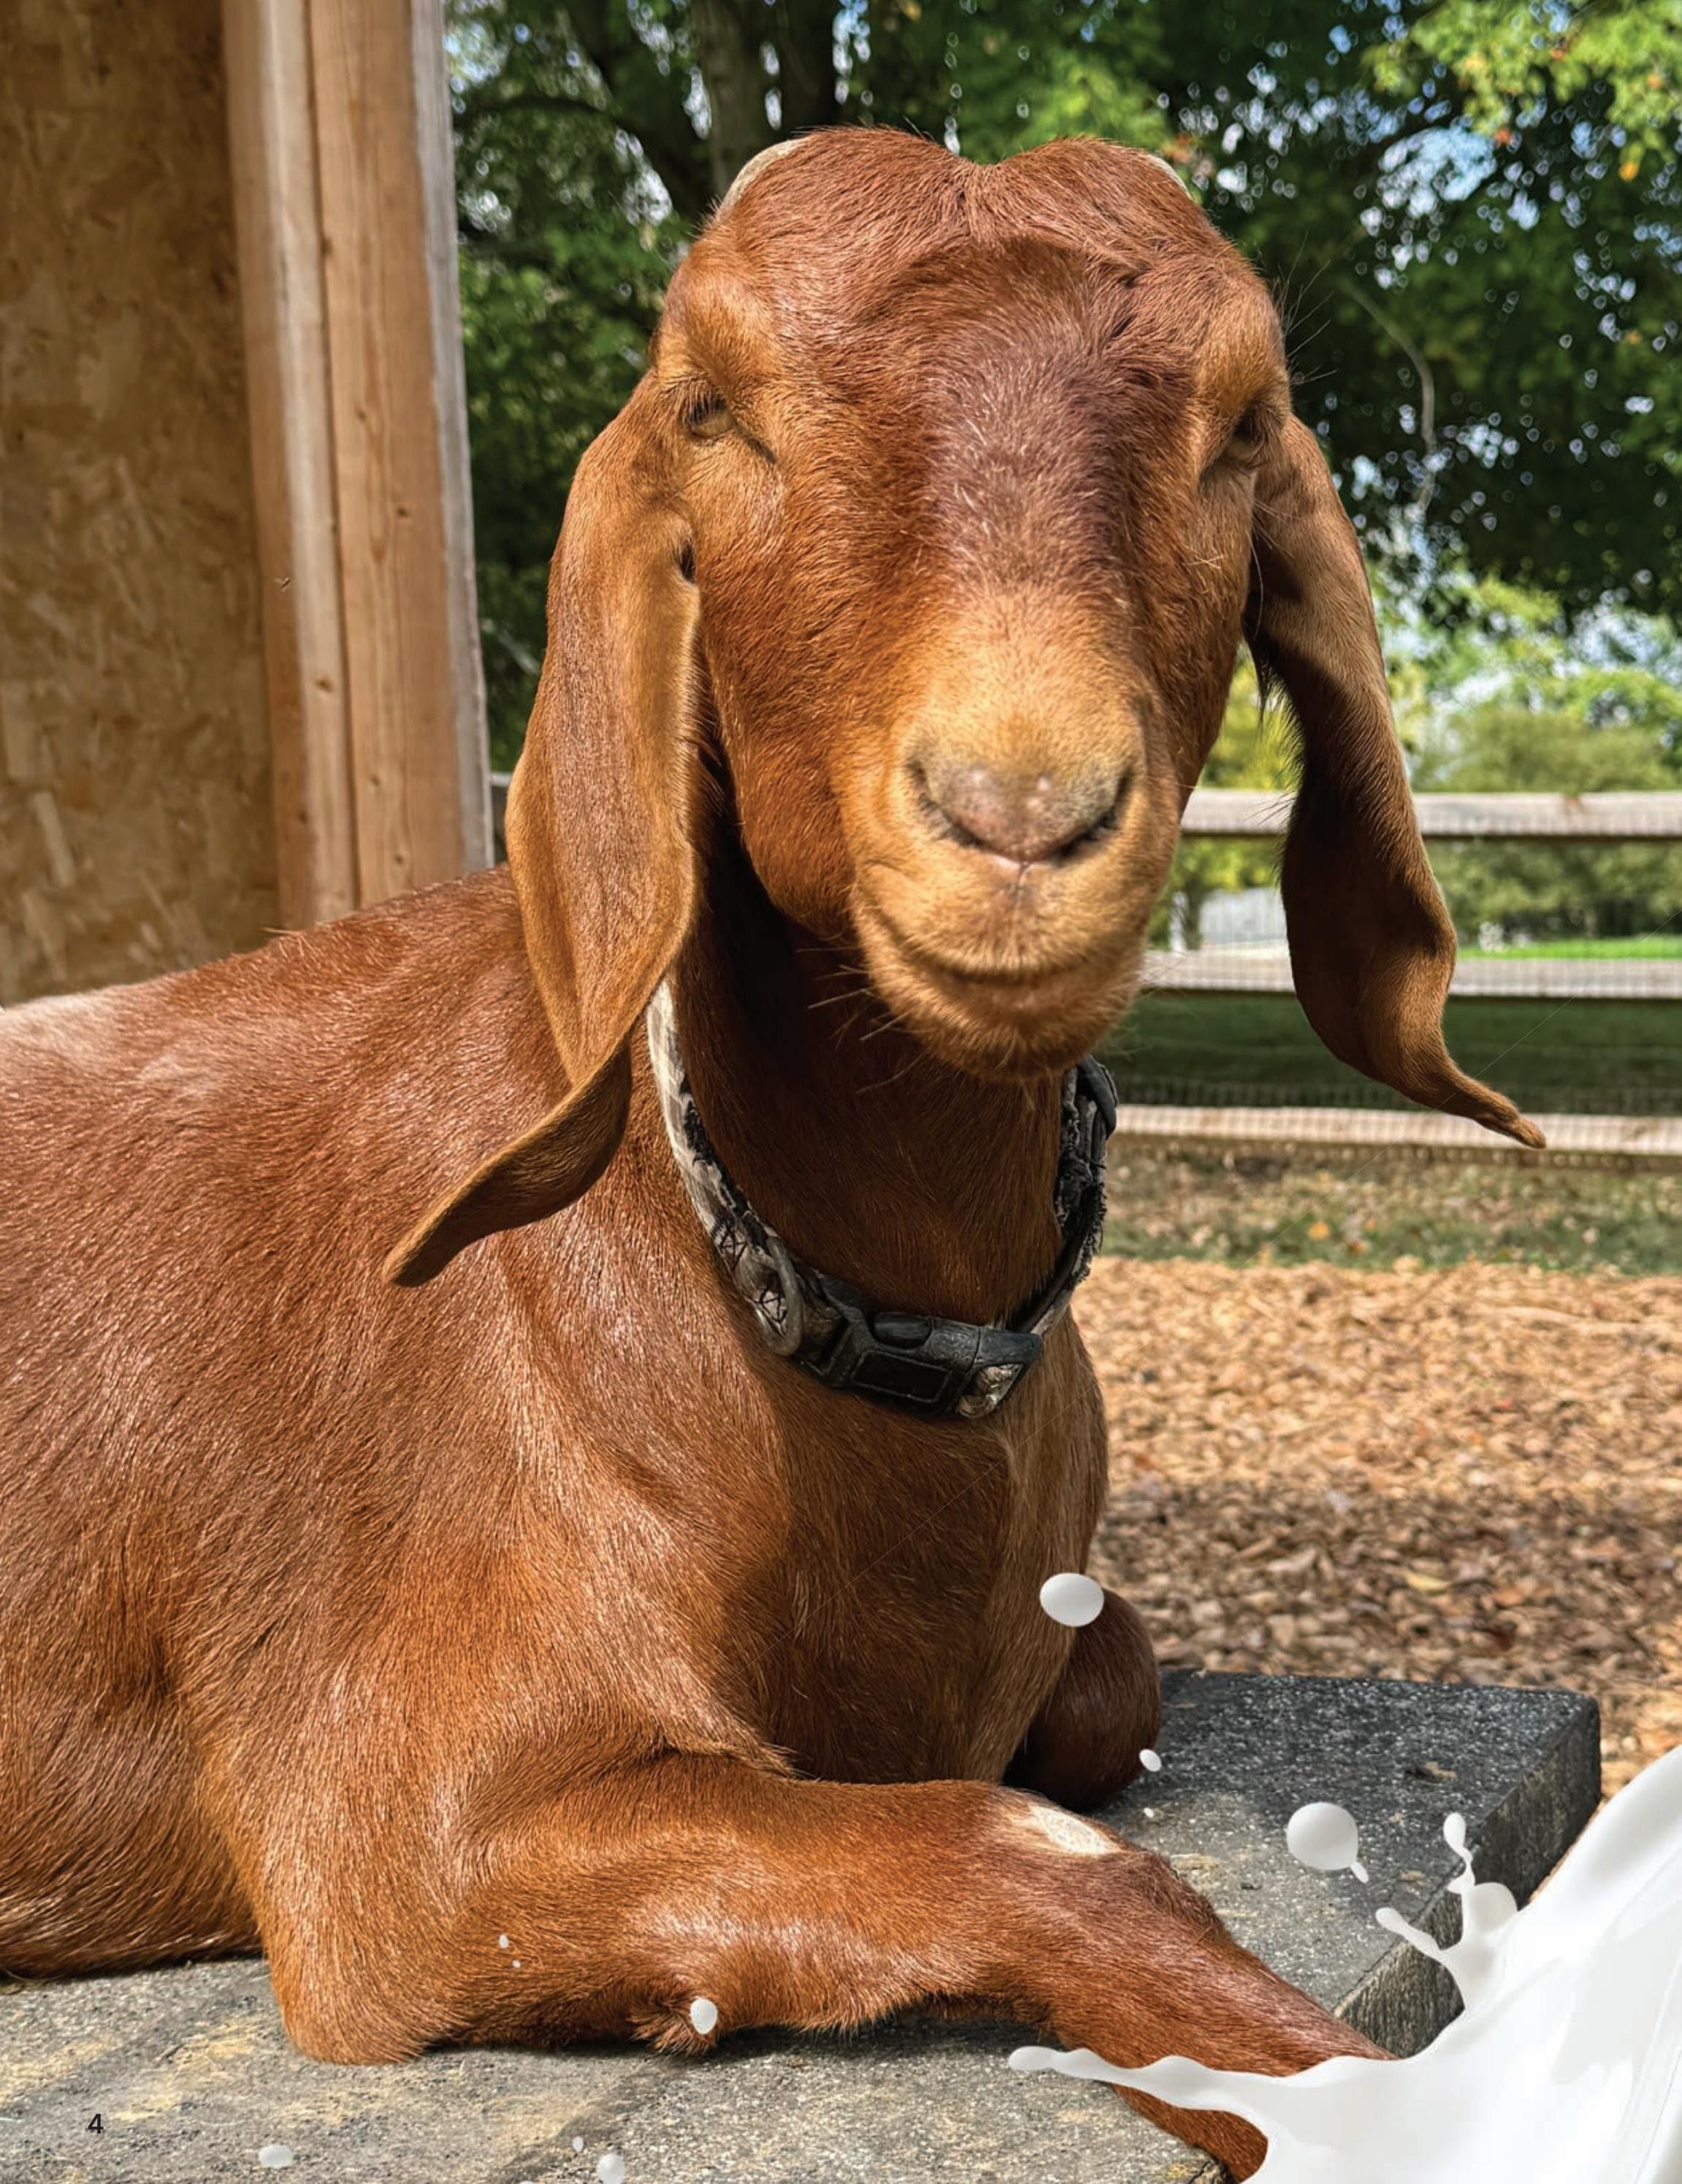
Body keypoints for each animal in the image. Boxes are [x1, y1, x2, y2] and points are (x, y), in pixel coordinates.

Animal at [0, 130, 1538, 2176]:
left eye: (1238, 421)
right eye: (715, 411)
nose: (1019, 809)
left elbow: (1101, 1695)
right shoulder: (413, 1829)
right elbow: (1039, 1851)